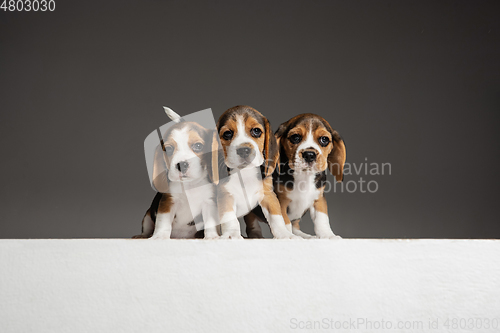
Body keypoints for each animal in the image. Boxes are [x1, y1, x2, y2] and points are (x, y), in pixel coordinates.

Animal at [134, 107, 220, 240]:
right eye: (169, 149)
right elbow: (163, 222)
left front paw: (211, 237)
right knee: (147, 228)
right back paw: (142, 236)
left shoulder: (209, 203)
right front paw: (159, 236)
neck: (189, 185)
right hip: (147, 216)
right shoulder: (168, 202)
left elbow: (210, 222)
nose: (181, 165)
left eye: (198, 146)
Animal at [216, 105, 300, 237]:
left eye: (256, 131)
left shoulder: (268, 195)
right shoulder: (225, 195)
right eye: (227, 134)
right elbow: (230, 218)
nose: (244, 150)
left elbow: (276, 217)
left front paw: (285, 235)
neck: (245, 173)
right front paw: (232, 235)